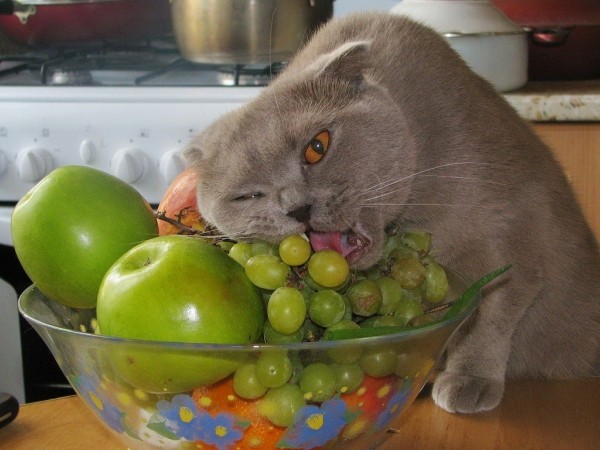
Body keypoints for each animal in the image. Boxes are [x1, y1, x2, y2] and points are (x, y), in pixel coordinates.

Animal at [184, 12, 600, 414]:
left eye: (317, 147)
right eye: (248, 196)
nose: (297, 207)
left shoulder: (515, 231)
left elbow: (491, 311)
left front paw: (469, 380)